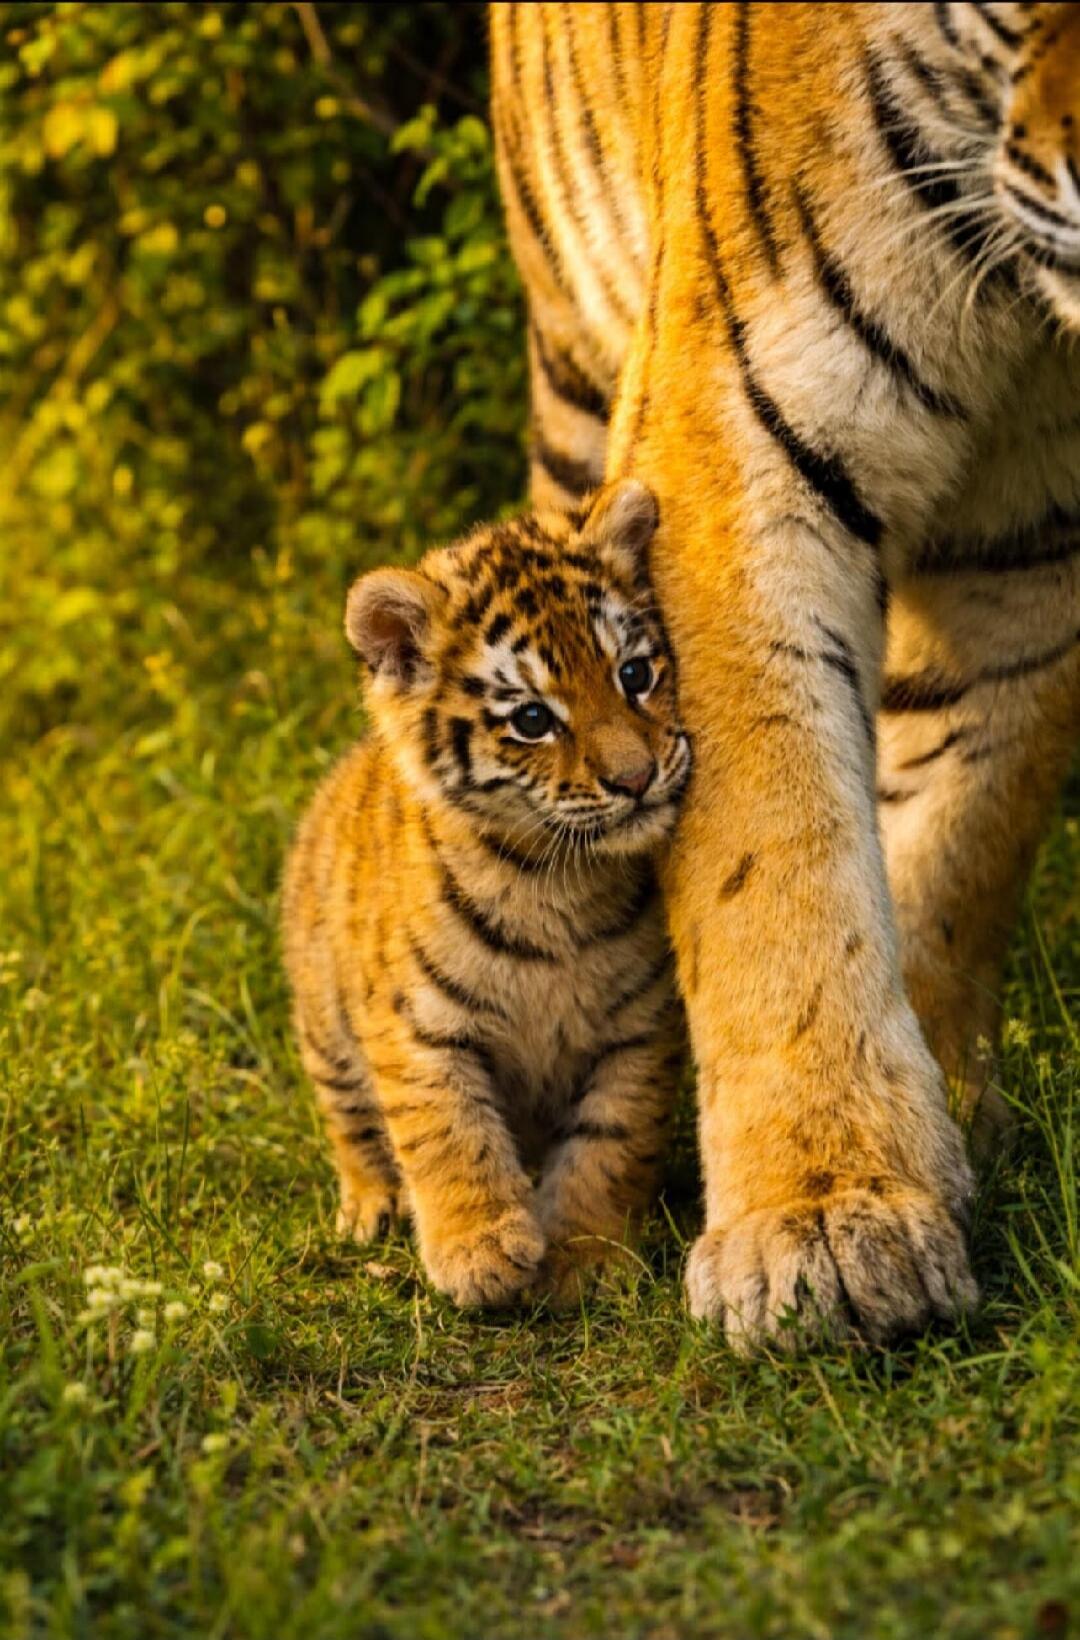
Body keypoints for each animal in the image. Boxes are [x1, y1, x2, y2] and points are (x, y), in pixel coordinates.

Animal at [281, 480, 691, 1309]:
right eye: (533, 720)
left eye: (634, 674)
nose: (636, 780)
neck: (557, 881)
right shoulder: (418, 1027)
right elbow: (447, 1131)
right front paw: (479, 1251)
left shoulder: (640, 1030)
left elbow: (611, 1141)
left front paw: (585, 1258)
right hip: (325, 1023)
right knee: (352, 1124)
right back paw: (372, 1204)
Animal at [490, 1, 1080, 1348]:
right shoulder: (732, 458)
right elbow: (774, 856)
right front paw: (821, 1213)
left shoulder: (1037, 541)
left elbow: (966, 824)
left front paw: (936, 1126)